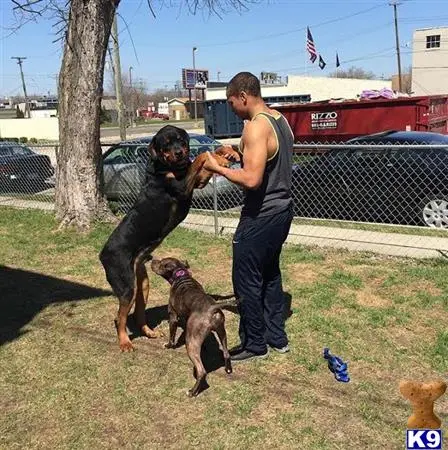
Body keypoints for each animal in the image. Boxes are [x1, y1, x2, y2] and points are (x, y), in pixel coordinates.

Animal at [150, 256, 236, 398]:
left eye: (161, 263)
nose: (152, 260)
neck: (181, 276)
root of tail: (213, 308)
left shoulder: (173, 317)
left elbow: (172, 335)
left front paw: (168, 345)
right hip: (221, 332)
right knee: (226, 353)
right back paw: (228, 369)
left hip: (190, 343)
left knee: (202, 371)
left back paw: (192, 391)